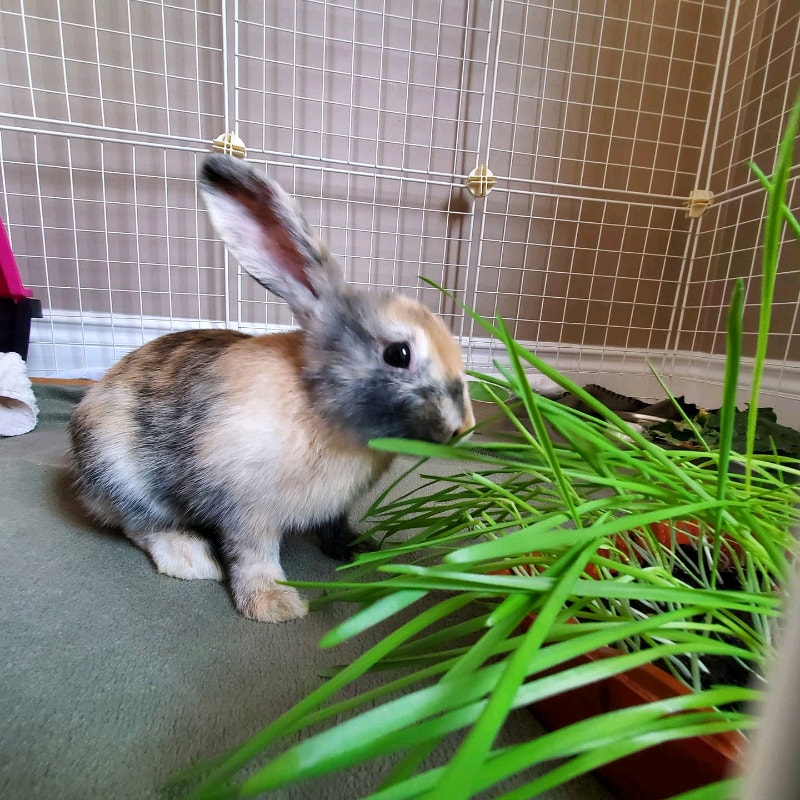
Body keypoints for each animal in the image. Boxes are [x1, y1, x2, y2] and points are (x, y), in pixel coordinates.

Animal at [68, 153, 475, 623]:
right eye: (398, 354)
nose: (464, 426)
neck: (319, 405)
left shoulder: (335, 507)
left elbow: (335, 527)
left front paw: (358, 549)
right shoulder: (246, 510)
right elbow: (253, 555)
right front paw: (274, 606)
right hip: (121, 474)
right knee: (139, 525)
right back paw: (191, 559)